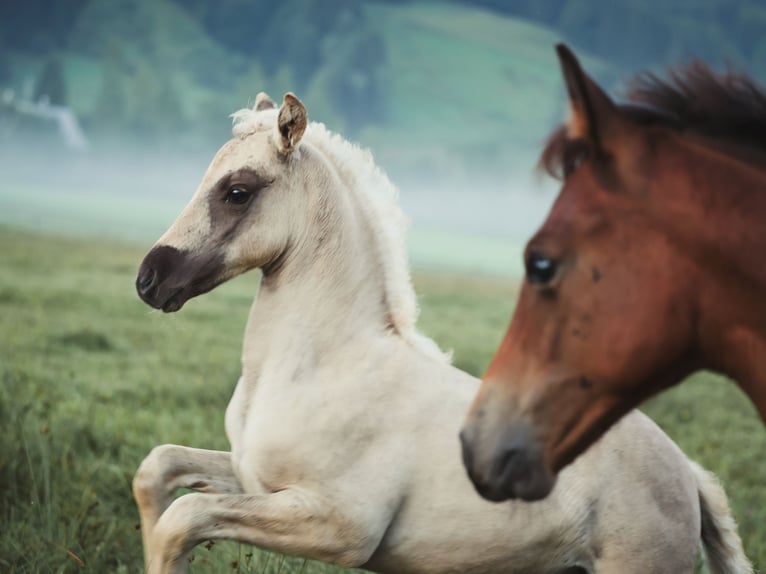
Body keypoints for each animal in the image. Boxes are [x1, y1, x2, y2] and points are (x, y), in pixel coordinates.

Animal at [133, 91, 751, 573]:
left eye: (238, 190)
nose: (149, 280)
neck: (320, 367)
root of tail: (688, 475)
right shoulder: (250, 479)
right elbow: (156, 472)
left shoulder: (337, 525)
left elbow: (181, 518)